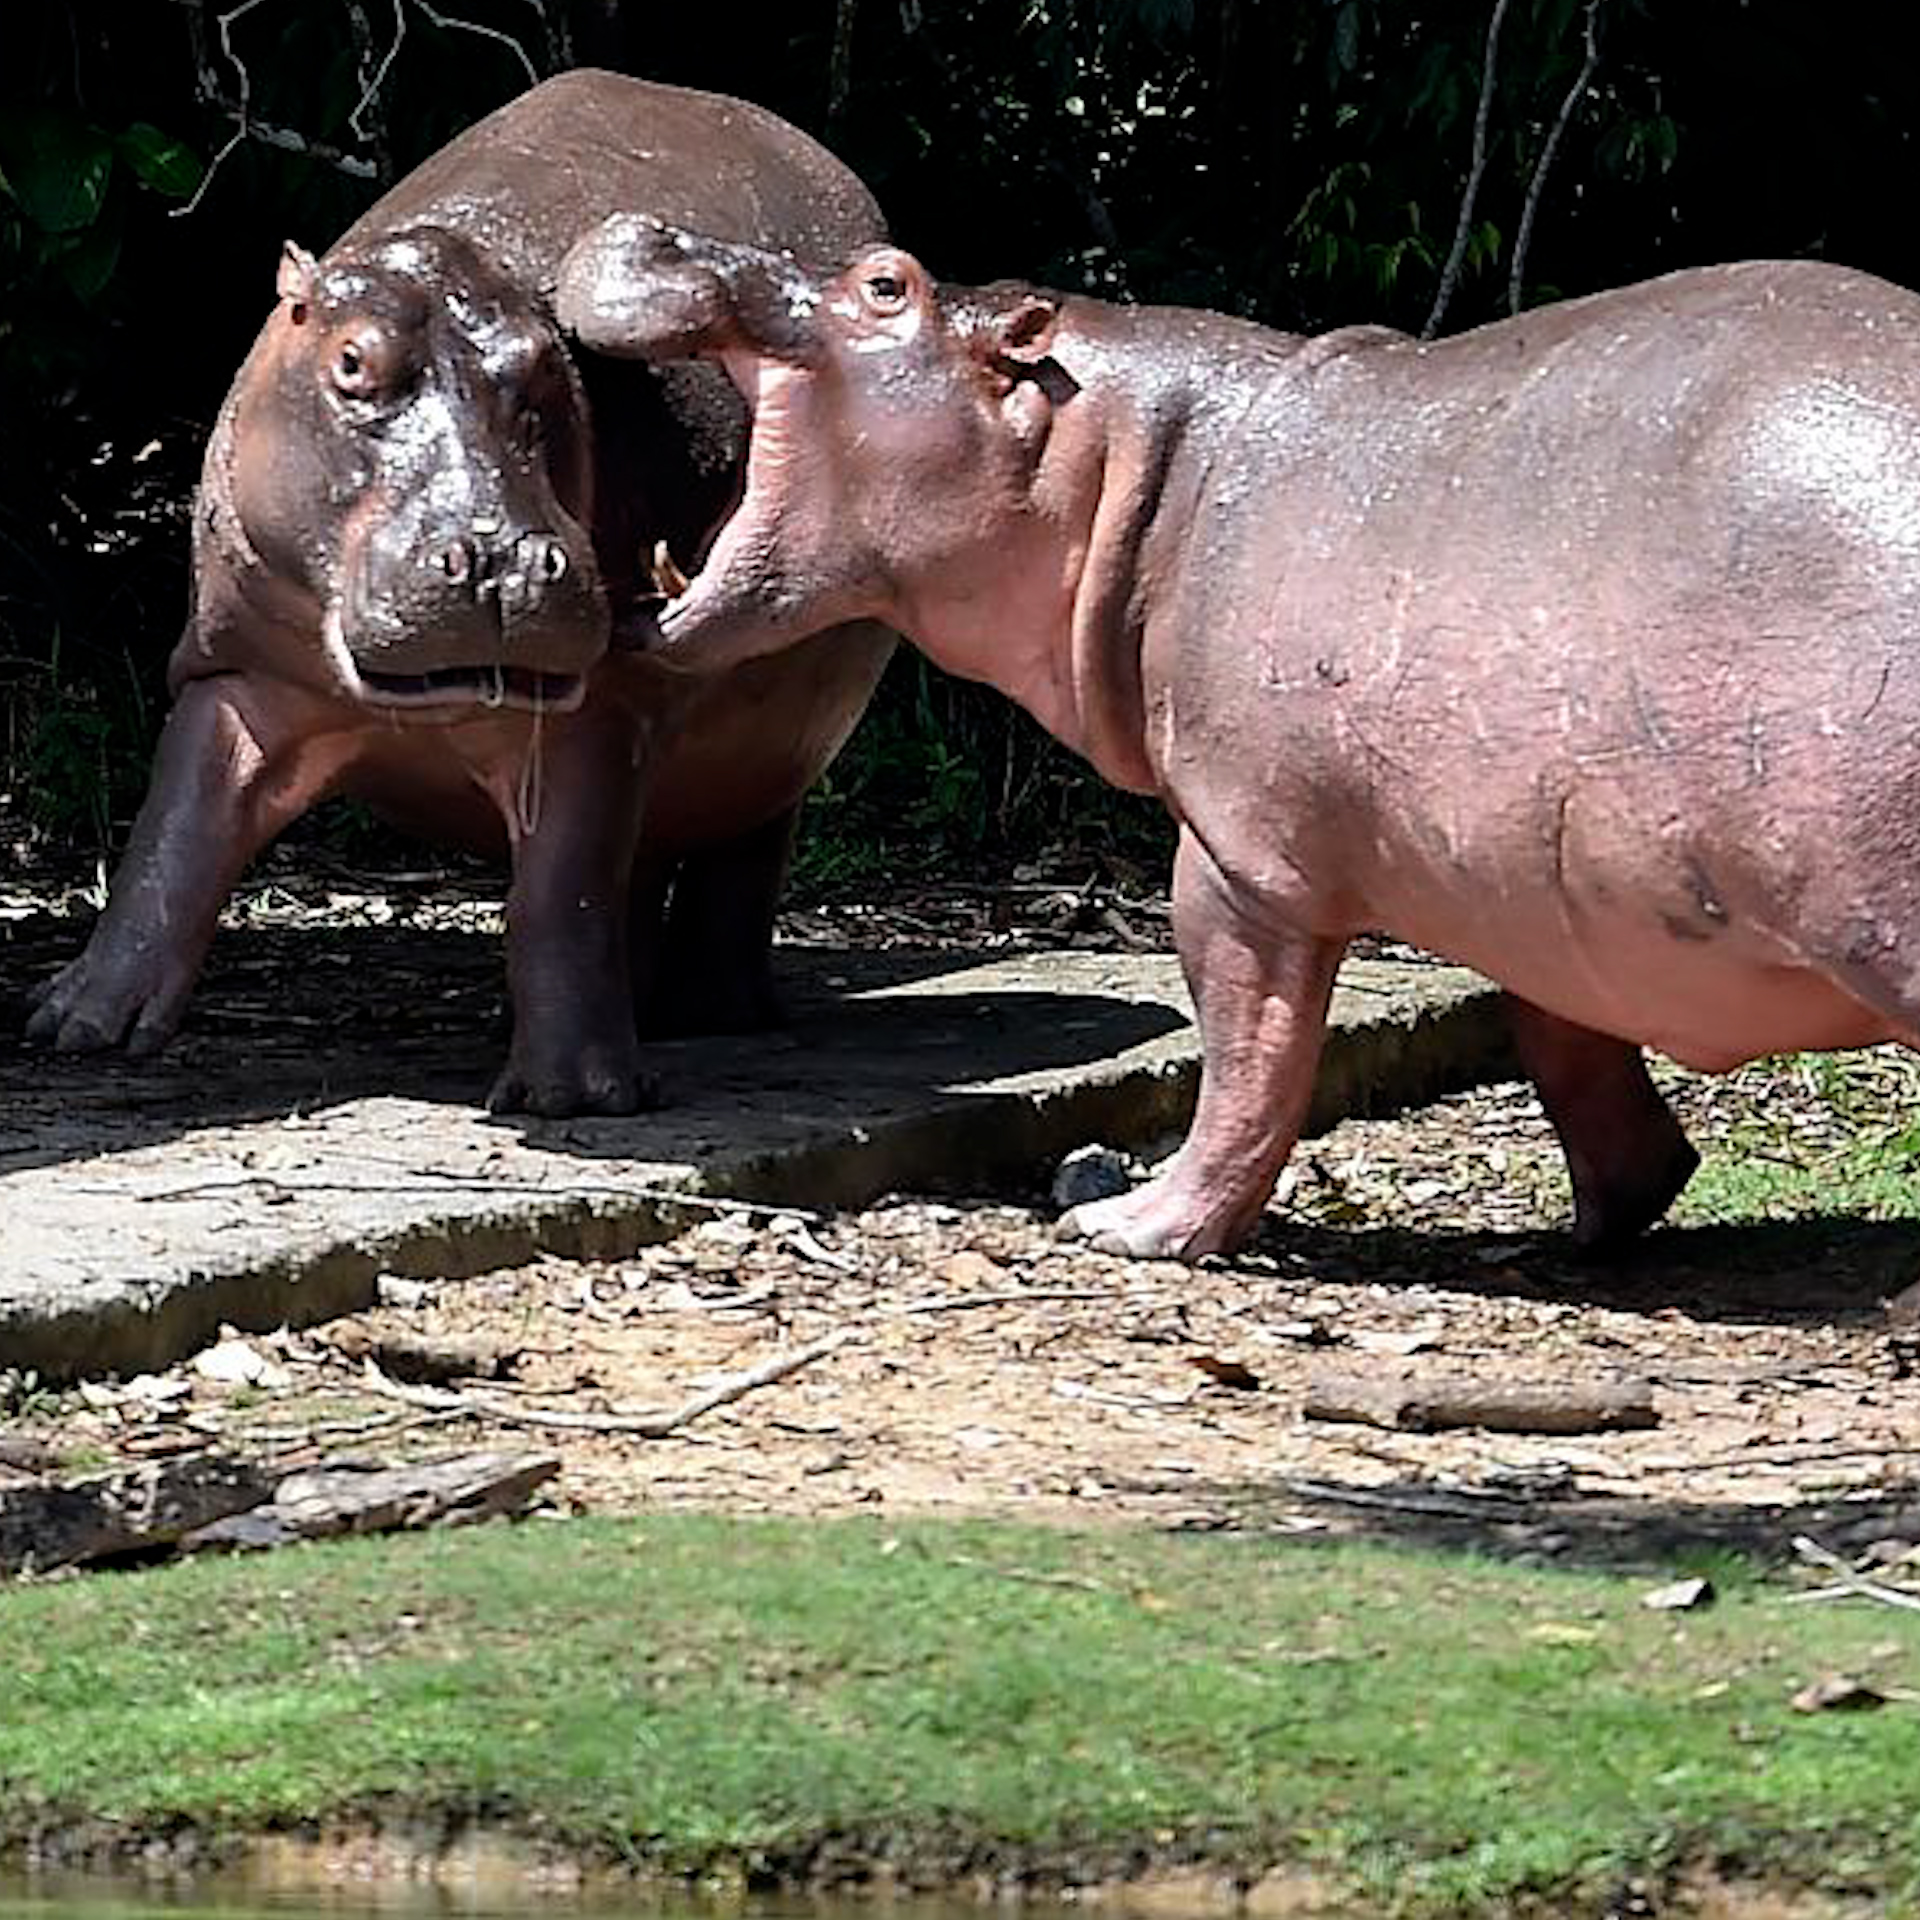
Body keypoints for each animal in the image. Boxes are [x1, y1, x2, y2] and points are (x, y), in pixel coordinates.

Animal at [26, 78, 890, 1113]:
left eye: (552, 372)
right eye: (350, 362)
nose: (501, 560)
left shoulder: (602, 709)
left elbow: (559, 893)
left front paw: (575, 1097)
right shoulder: (237, 671)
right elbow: (178, 835)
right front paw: (76, 1030)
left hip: (781, 740)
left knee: (731, 863)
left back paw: (710, 1014)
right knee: (644, 867)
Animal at [549, 217, 1920, 1259]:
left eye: (888, 284)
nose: (651, 226)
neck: (1124, 467)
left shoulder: (1239, 861)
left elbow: (1246, 1063)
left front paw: (1132, 1228)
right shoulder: (1527, 874)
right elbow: (1568, 1044)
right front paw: (1586, 1234)